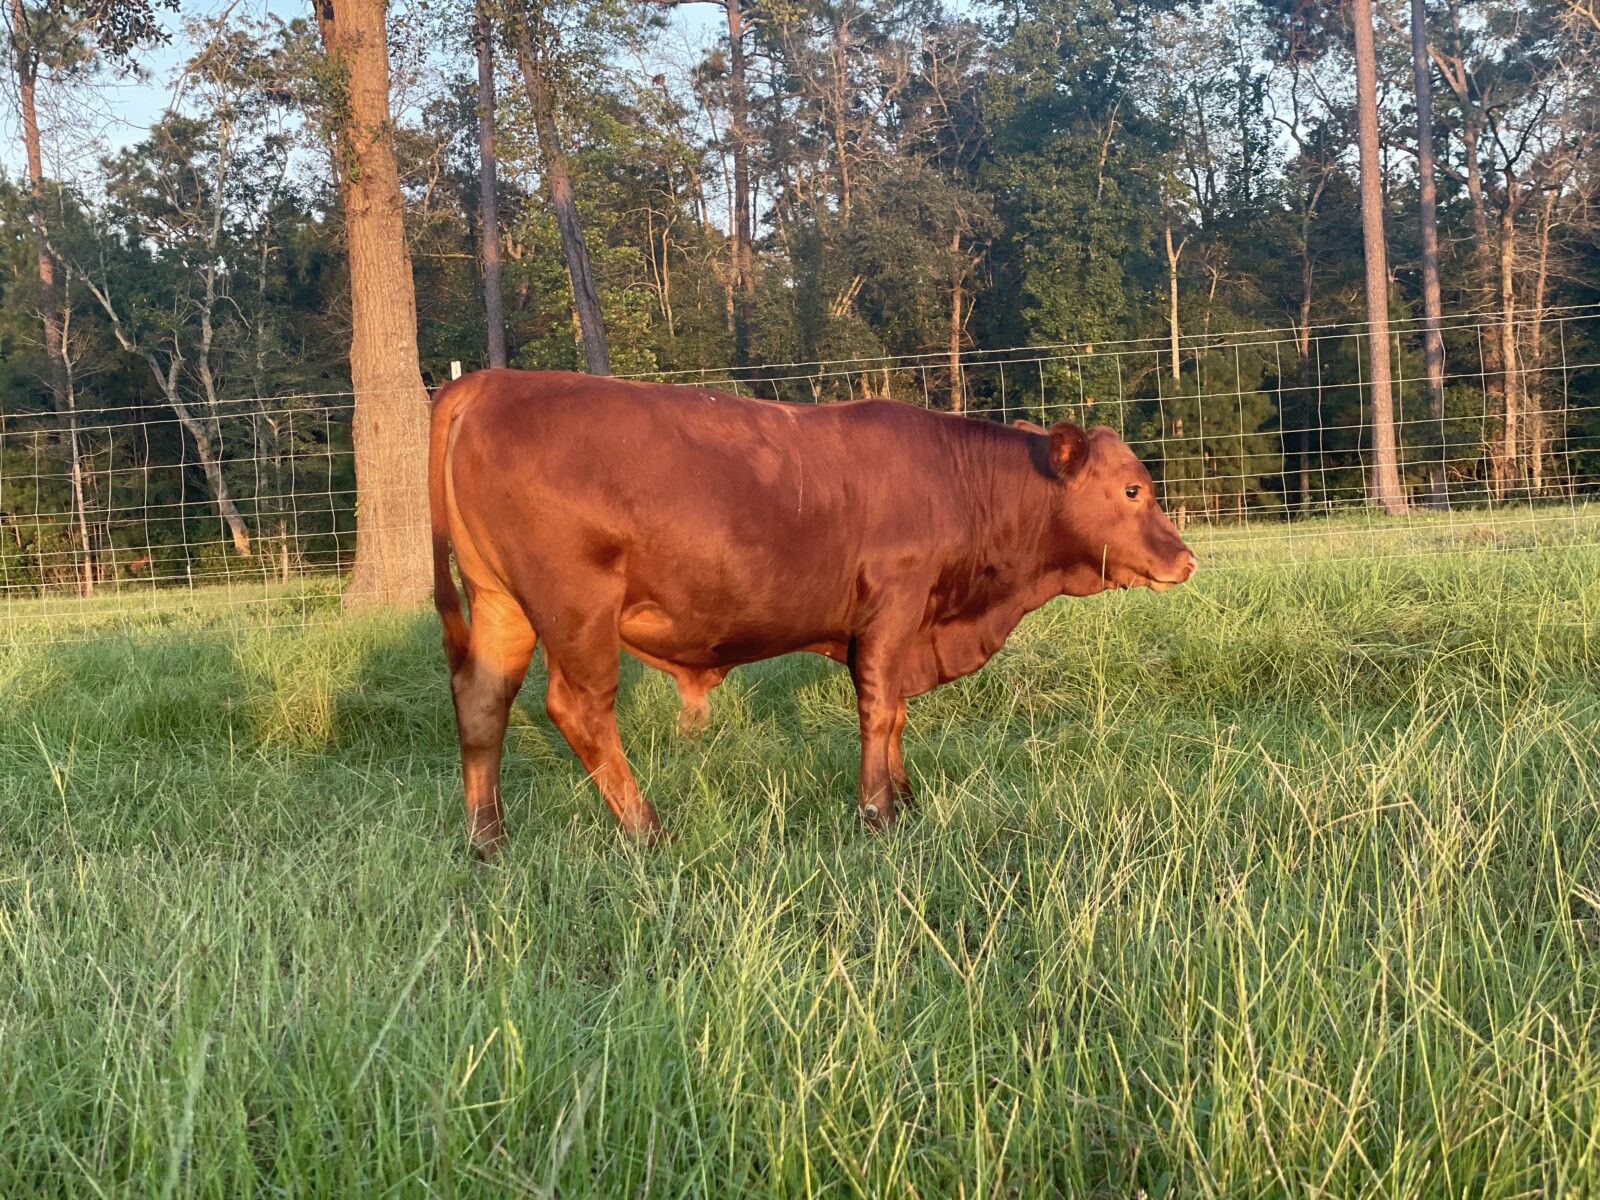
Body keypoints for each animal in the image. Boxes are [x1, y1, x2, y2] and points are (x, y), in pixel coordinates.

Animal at [429, 370, 1197, 858]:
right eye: (1134, 490)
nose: (1185, 558)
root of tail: (493, 380)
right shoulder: (894, 605)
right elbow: (880, 708)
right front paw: (878, 813)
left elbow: (895, 713)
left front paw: (905, 798)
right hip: (576, 609)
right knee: (579, 710)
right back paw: (648, 831)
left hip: (500, 605)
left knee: (482, 702)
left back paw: (489, 840)